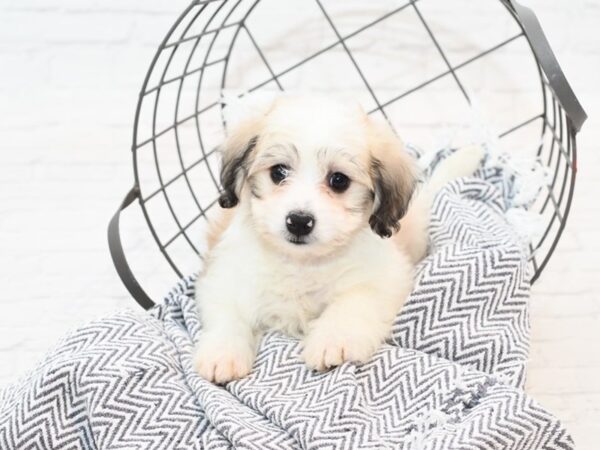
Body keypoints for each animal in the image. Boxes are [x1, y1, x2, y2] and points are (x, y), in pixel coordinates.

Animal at [195, 96, 486, 384]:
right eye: (278, 172)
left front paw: (334, 340)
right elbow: (228, 311)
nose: (299, 221)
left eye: (339, 180)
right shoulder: (224, 275)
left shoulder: (385, 277)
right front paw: (223, 352)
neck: (302, 263)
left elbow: (353, 301)